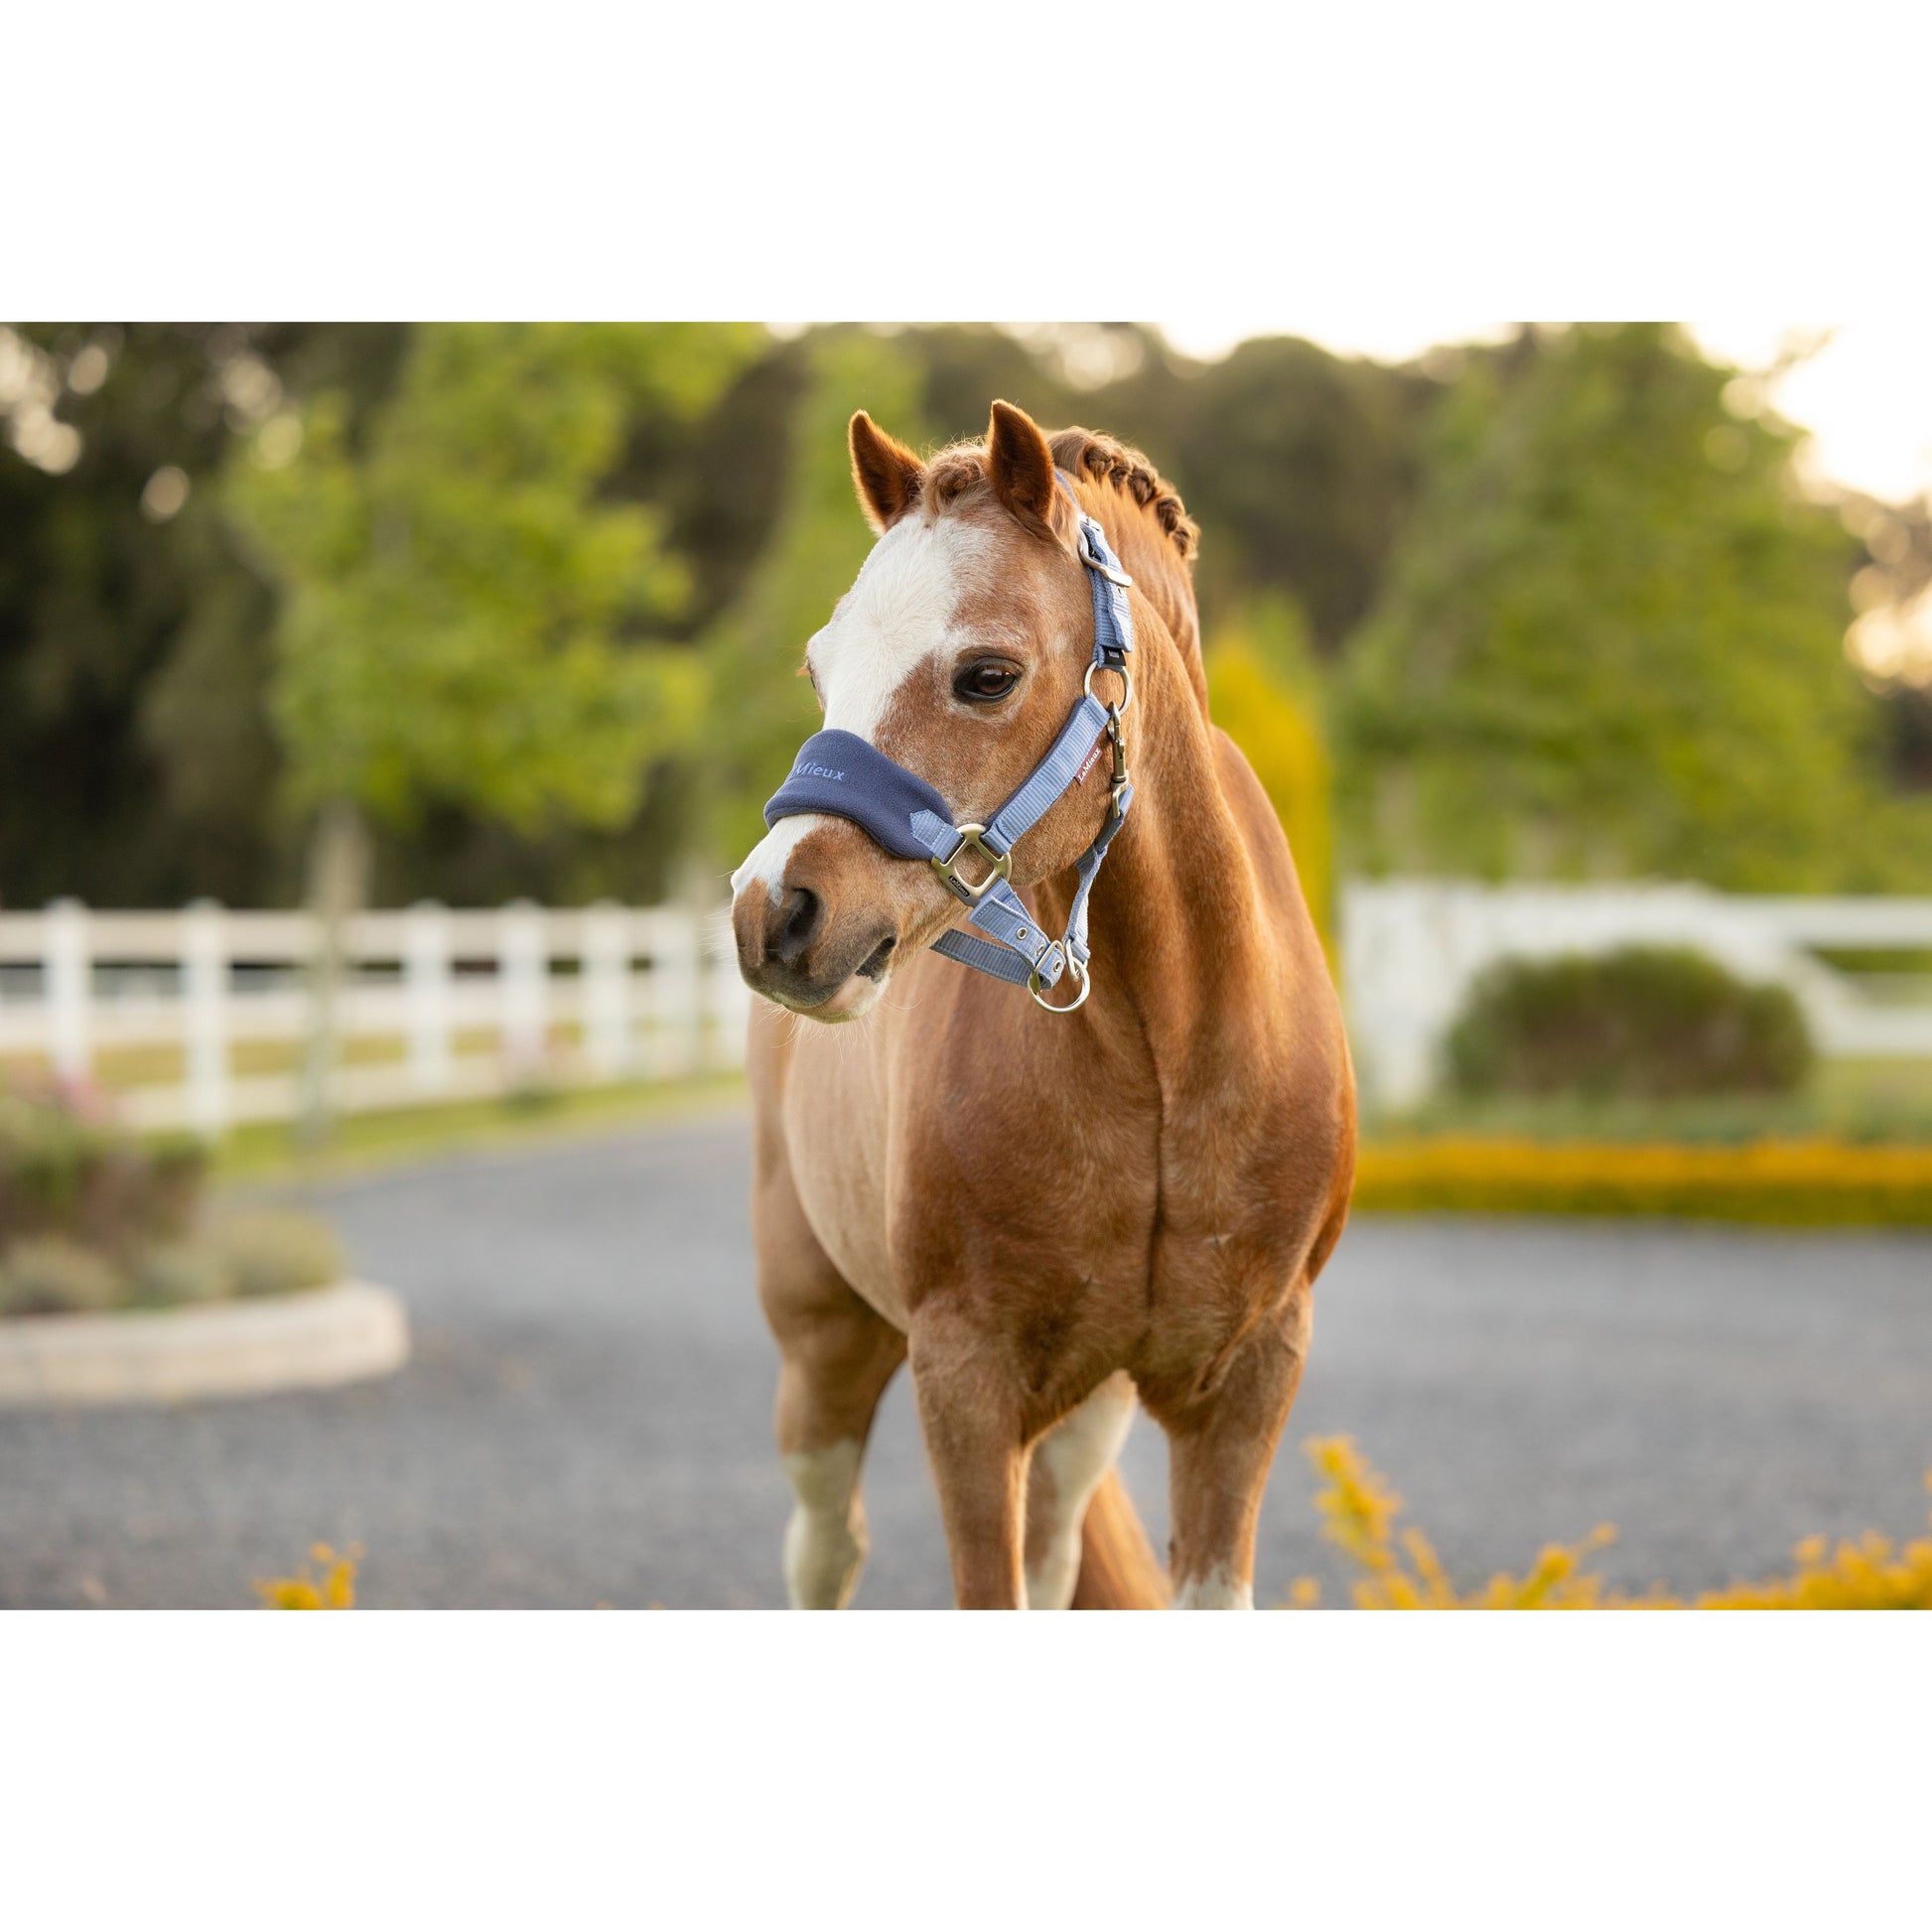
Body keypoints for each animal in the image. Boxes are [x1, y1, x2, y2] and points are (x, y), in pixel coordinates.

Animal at [729, 399, 1356, 1608]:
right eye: (820, 672)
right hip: (821, 1352)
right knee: (826, 1549)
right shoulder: (965, 1380)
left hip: (1085, 1414)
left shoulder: (1248, 1381)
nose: (771, 911)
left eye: (985, 674)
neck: (1166, 1053)